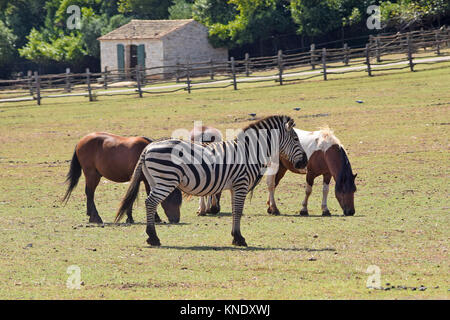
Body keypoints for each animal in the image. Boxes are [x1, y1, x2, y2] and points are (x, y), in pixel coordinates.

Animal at [114, 115, 308, 248]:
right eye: (296, 139)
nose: (305, 162)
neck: (248, 152)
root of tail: (148, 147)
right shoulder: (241, 184)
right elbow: (238, 211)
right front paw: (239, 238)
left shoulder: (234, 187)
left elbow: (235, 211)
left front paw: (235, 236)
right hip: (166, 180)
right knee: (150, 202)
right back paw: (153, 238)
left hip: (156, 181)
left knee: (151, 203)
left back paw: (151, 236)